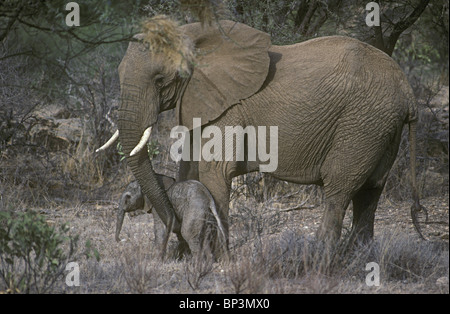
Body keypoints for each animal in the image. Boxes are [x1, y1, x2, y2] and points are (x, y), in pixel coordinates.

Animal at [100, 16, 428, 255]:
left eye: (160, 81)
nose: (172, 224)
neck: (195, 36)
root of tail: (407, 92)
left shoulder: (228, 109)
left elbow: (214, 172)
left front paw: (215, 258)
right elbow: (189, 171)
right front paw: (186, 254)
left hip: (362, 123)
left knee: (340, 189)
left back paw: (318, 258)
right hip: (382, 127)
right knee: (371, 190)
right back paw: (360, 257)